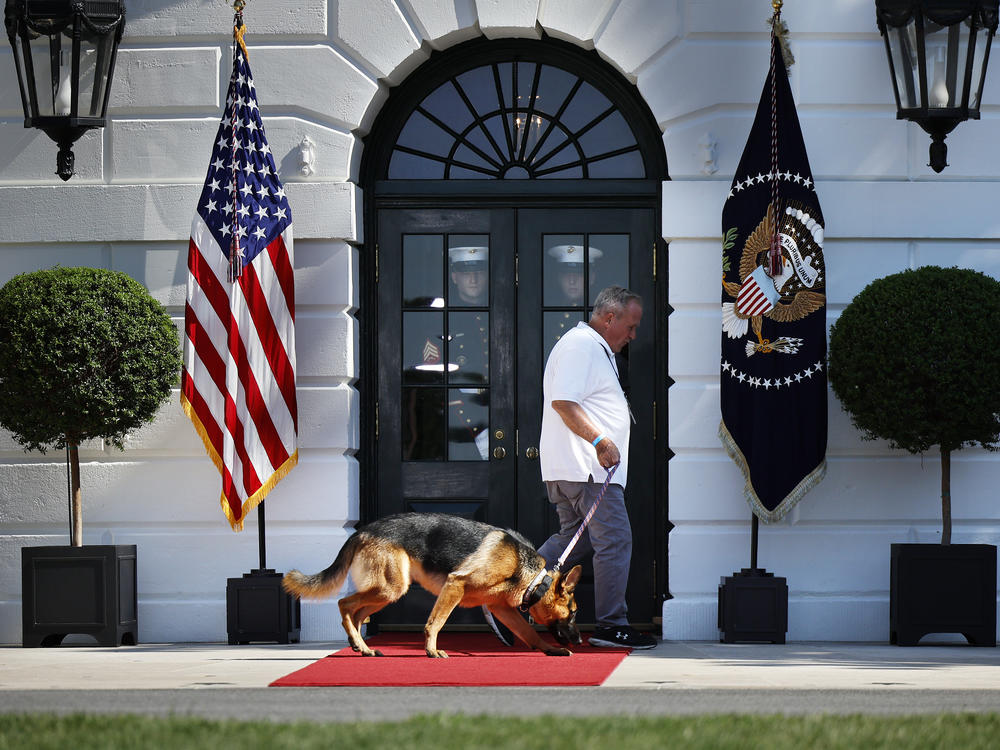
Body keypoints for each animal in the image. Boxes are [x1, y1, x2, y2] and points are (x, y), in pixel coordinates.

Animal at [282, 516, 584, 660]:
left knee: (356, 614)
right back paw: (360, 644)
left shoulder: (501, 610)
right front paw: (431, 650)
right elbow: (435, 623)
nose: (581, 641)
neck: (535, 580)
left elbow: (529, 634)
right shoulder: (455, 585)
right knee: (344, 604)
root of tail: (361, 531)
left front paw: (550, 650)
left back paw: (361, 646)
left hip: (387, 592)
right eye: (573, 613)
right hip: (390, 588)